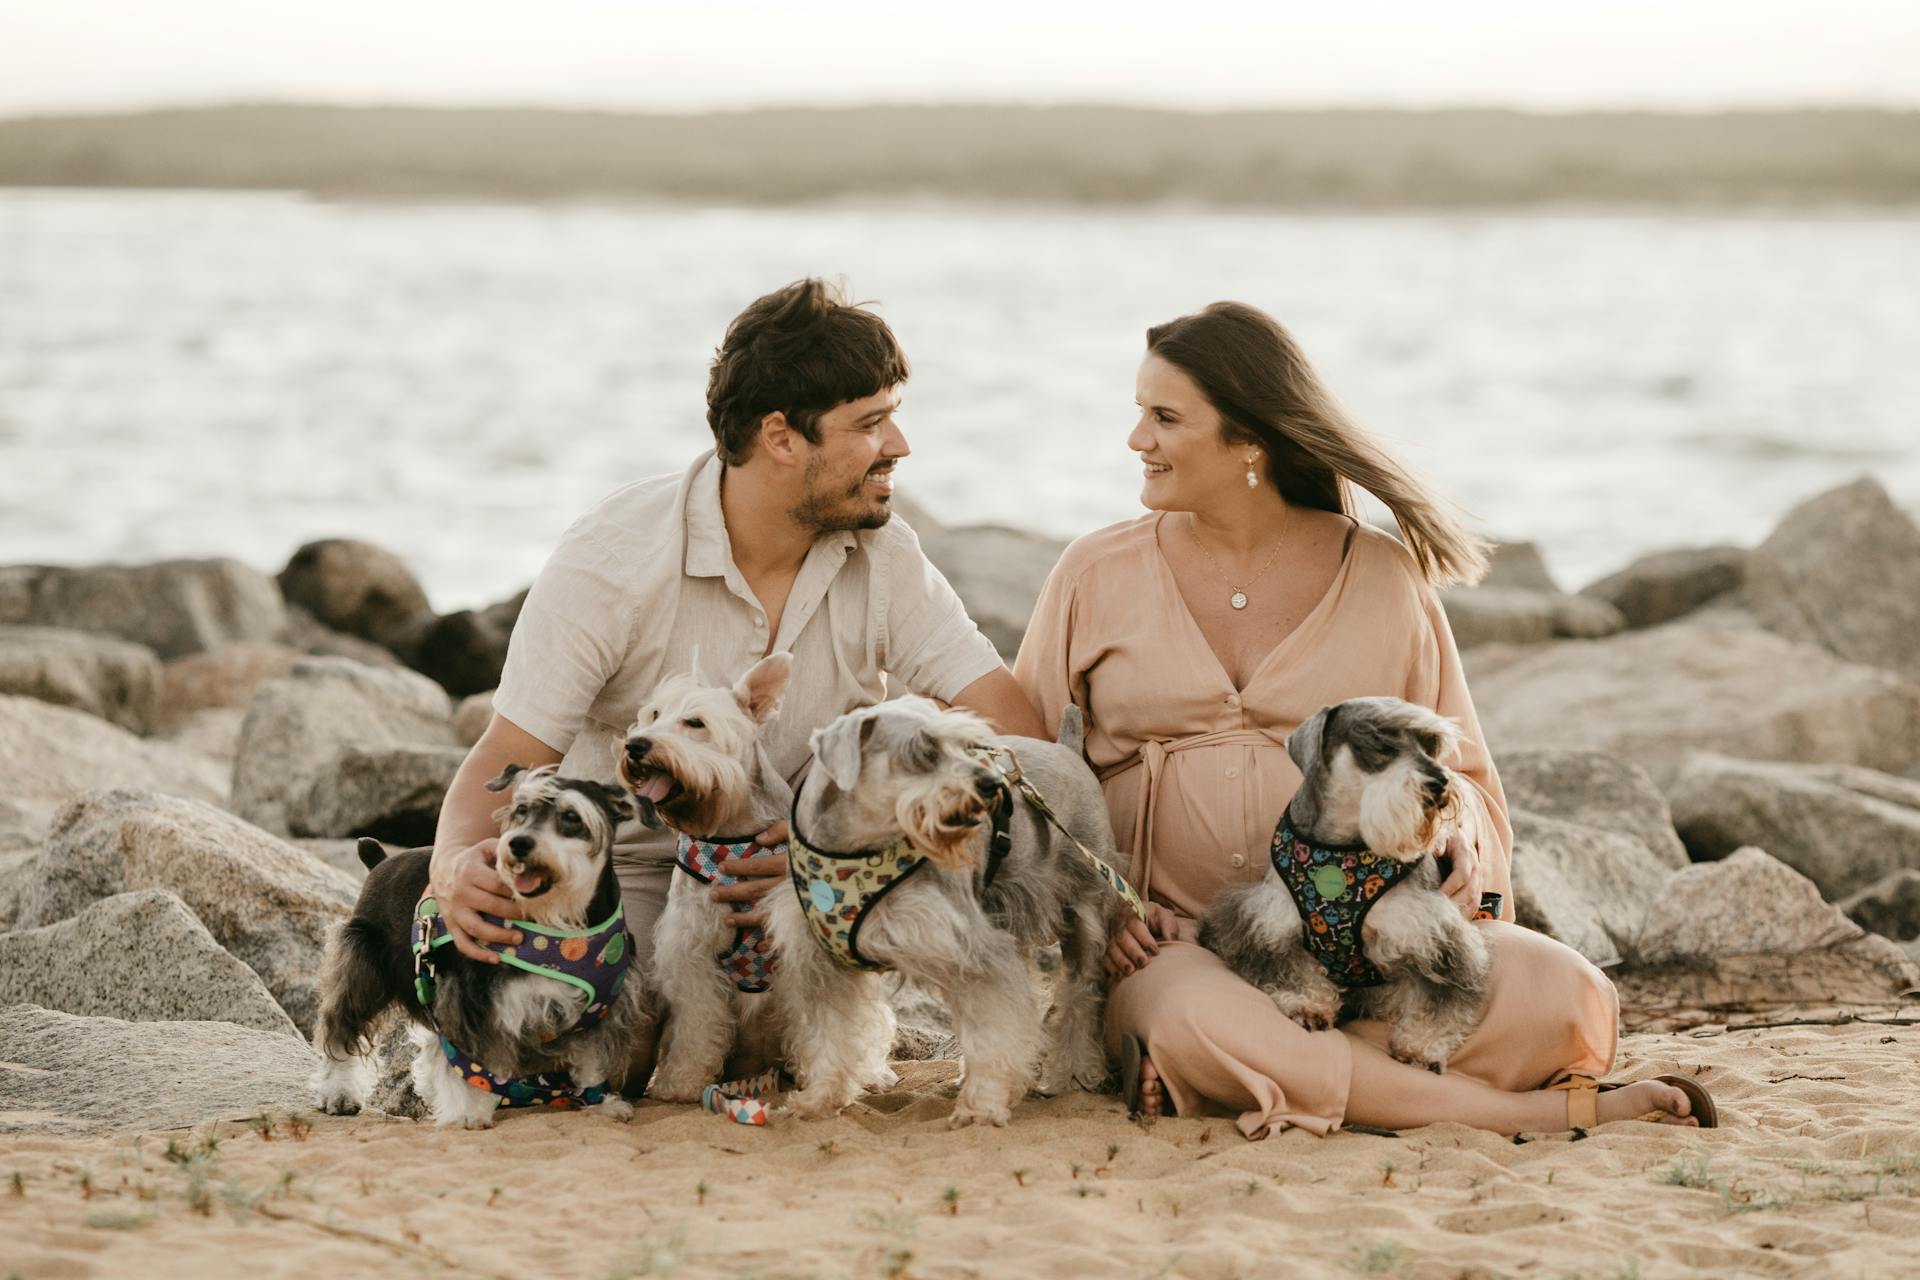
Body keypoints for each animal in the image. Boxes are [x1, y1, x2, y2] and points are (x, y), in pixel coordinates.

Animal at [307, 767, 648, 1128]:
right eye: (520, 809)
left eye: (571, 816)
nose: (518, 843)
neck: (558, 922)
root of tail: (380, 861)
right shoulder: (472, 1000)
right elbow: (468, 1062)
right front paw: (468, 1112)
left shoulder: (602, 1009)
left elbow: (592, 1060)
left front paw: (602, 1104)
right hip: (362, 964)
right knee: (340, 1029)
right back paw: (338, 1093)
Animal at [618, 652, 791, 1105]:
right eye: (654, 714)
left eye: (695, 723)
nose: (636, 745)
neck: (733, 832)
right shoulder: (692, 950)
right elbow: (698, 1023)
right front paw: (681, 1081)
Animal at [768, 694, 1121, 1128]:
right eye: (923, 750)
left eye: (966, 746)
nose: (992, 785)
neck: (860, 848)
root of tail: (1067, 748)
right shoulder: (824, 966)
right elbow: (831, 1035)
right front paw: (819, 1099)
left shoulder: (973, 947)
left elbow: (995, 1030)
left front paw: (982, 1106)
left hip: (1084, 912)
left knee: (1081, 997)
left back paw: (1073, 1072)